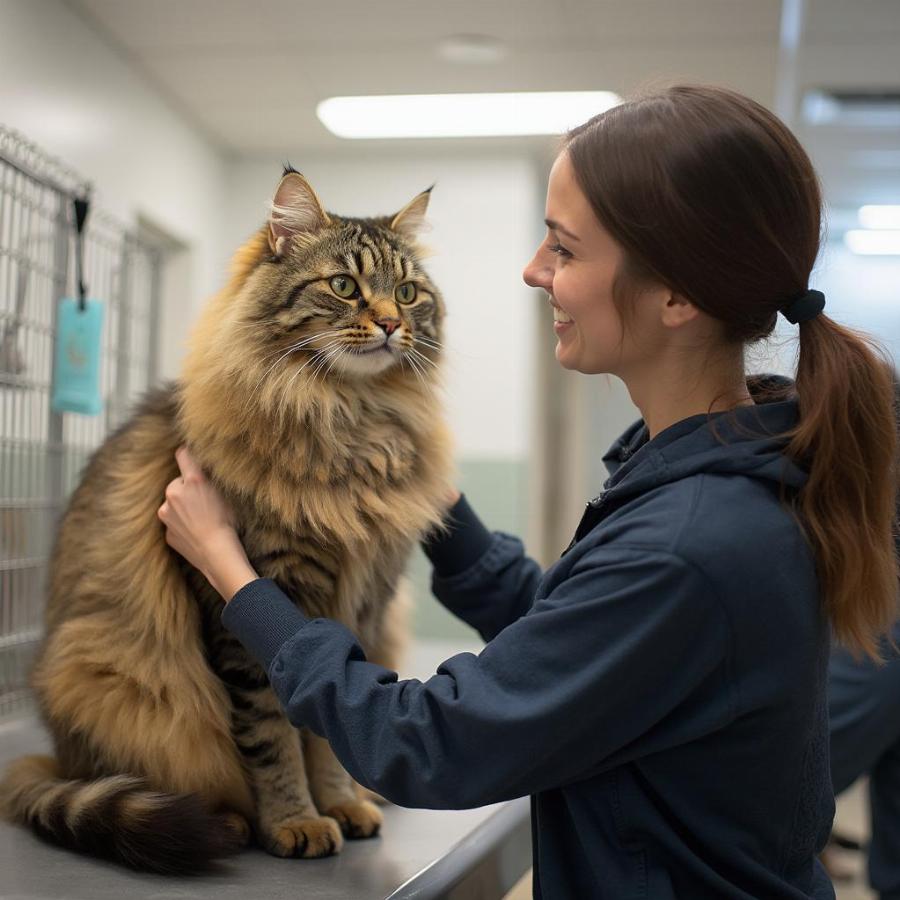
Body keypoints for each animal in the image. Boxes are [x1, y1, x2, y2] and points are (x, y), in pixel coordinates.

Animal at [0, 169, 454, 872]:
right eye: (344, 285)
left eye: (407, 293)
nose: (388, 323)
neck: (349, 422)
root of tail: (55, 758)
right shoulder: (249, 614)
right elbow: (275, 735)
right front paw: (296, 820)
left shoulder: (361, 609)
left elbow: (331, 733)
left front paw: (341, 804)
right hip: (104, 676)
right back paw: (231, 823)